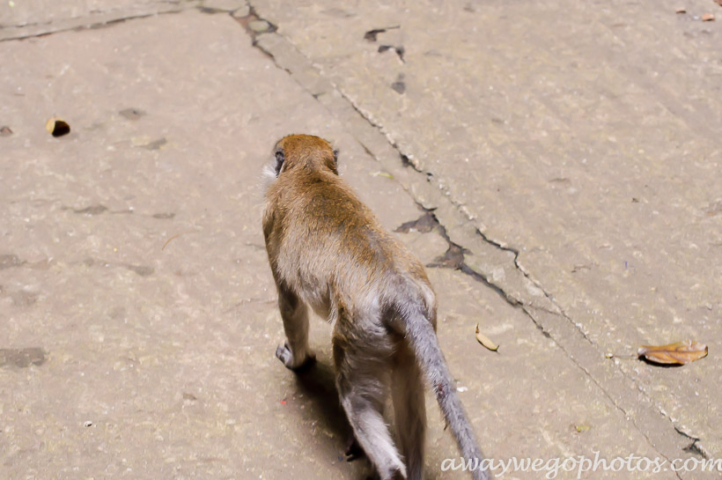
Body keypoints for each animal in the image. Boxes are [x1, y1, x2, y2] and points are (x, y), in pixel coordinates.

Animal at [258, 134, 490, 480]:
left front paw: (297, 361)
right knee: (410, 402)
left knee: (356, 400)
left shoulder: (269, 220)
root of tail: (398, 290)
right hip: (406, 333)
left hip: (358, 333)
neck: (311, 171)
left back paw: (389, 468)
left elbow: (290, 303)